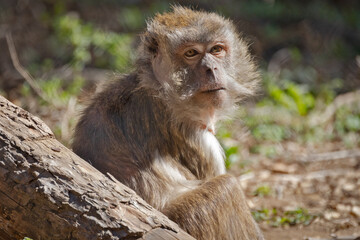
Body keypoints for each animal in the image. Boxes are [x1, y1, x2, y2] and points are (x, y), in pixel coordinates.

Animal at [73, 6, 264, 240]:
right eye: (191, 53)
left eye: (217, 49)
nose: (212, 69)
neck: (161, 90)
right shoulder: (193, 132)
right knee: (227, 187)